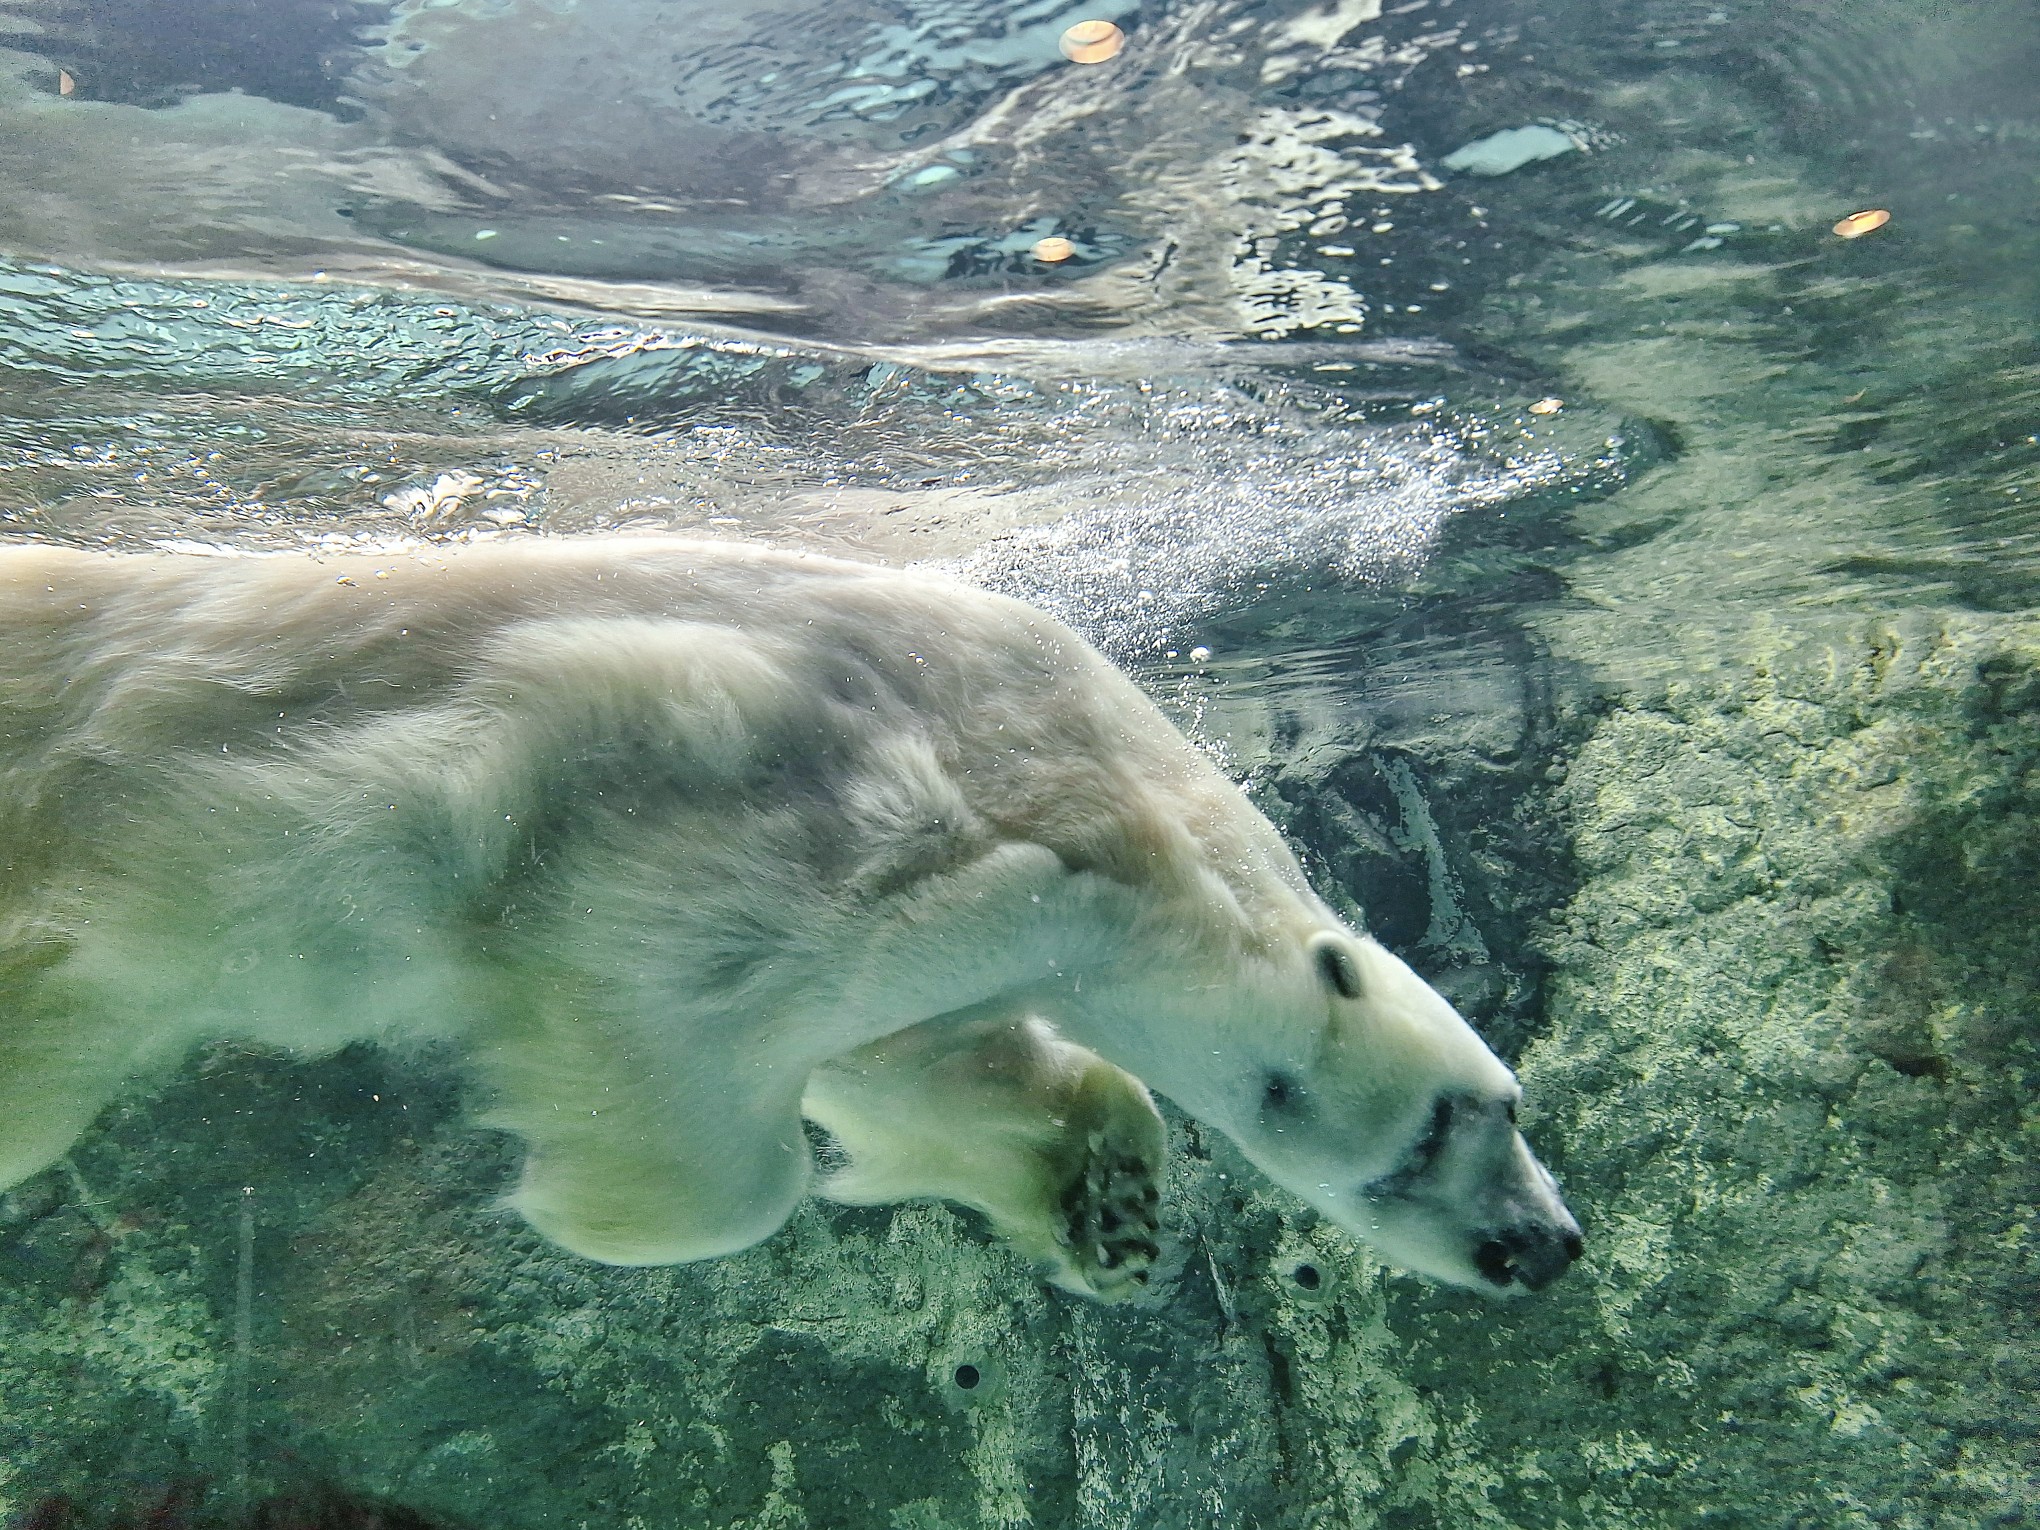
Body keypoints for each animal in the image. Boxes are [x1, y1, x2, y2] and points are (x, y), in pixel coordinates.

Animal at [0, 546, 1574, 1297]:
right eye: (1459, 1120)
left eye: (1511, 1100)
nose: (1548, 1246)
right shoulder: (883, 831)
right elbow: (663, 1000)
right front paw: (608, 1204)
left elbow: (909, 1067)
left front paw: (1110, 1204)